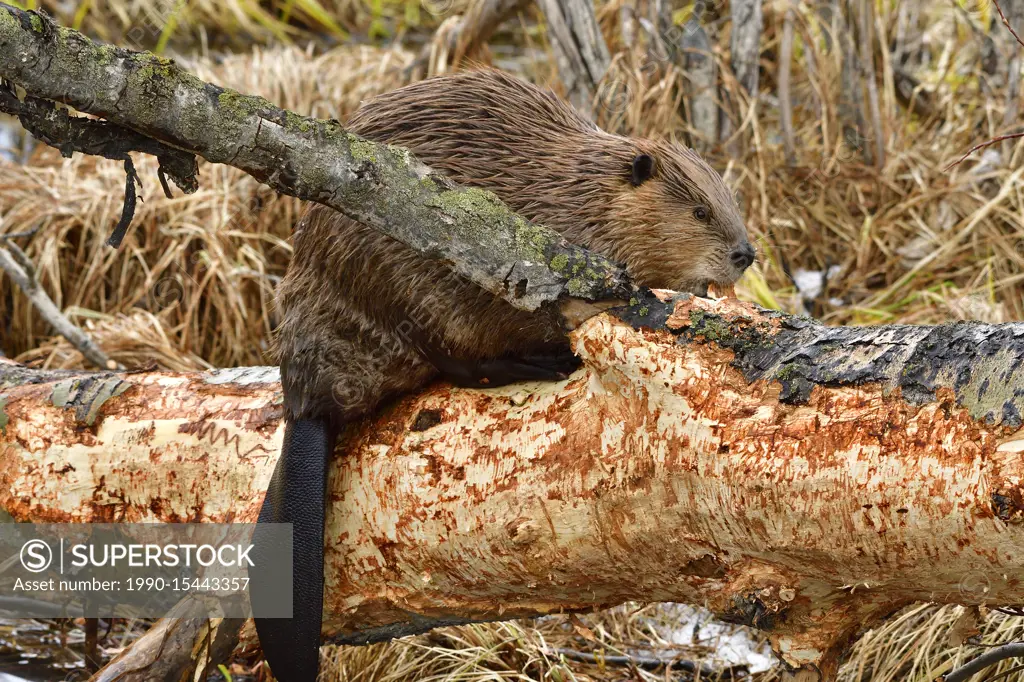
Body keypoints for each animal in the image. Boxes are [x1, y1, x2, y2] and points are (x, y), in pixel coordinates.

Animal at [251, 67, 757, 679]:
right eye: (700, 212)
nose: (746, 254)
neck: (583, 195)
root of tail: (307, 404)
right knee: (457, 360)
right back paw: (550, 360)